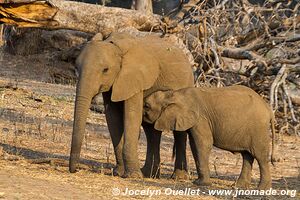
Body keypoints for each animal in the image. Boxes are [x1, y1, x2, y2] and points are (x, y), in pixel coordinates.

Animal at [69, 32, 193, 178]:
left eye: (105, 70)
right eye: (76, 68)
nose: (76, 169)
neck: (116, 46)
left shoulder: (134, 78)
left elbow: (132, 116)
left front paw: (132, 176)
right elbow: (113, 118)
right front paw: (118, 172)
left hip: (187, 84)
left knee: (179, 130)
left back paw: (178, 177)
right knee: (151, 130)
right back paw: (149, 174)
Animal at [144, 85, 276, 189]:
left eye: (146, 106)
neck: (173, 94)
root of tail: (269, 109)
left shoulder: (200, 119)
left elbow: (203, 143)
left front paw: (201, 184)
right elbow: (194, 145)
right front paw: (198, 182)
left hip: (258, 129)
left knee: (260, 156)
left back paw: (262, 188)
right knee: (247, 156)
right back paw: (238, 186)